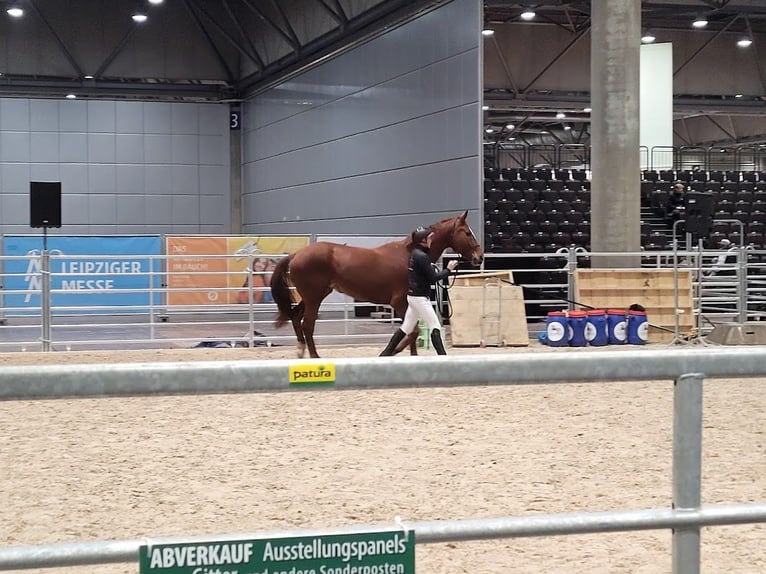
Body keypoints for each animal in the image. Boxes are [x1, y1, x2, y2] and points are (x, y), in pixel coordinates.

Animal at [272, 212, 484, 356]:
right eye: (467, 233)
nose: (479, 257)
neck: (409, 254)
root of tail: (296, 254)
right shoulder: (400, 302)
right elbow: (412, 332)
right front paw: (391, 352)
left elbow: (411, 332)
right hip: (314, 297)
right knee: (307, 325)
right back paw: (315, 357)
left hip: (314, 296)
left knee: (295, 317)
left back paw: (300, 351)